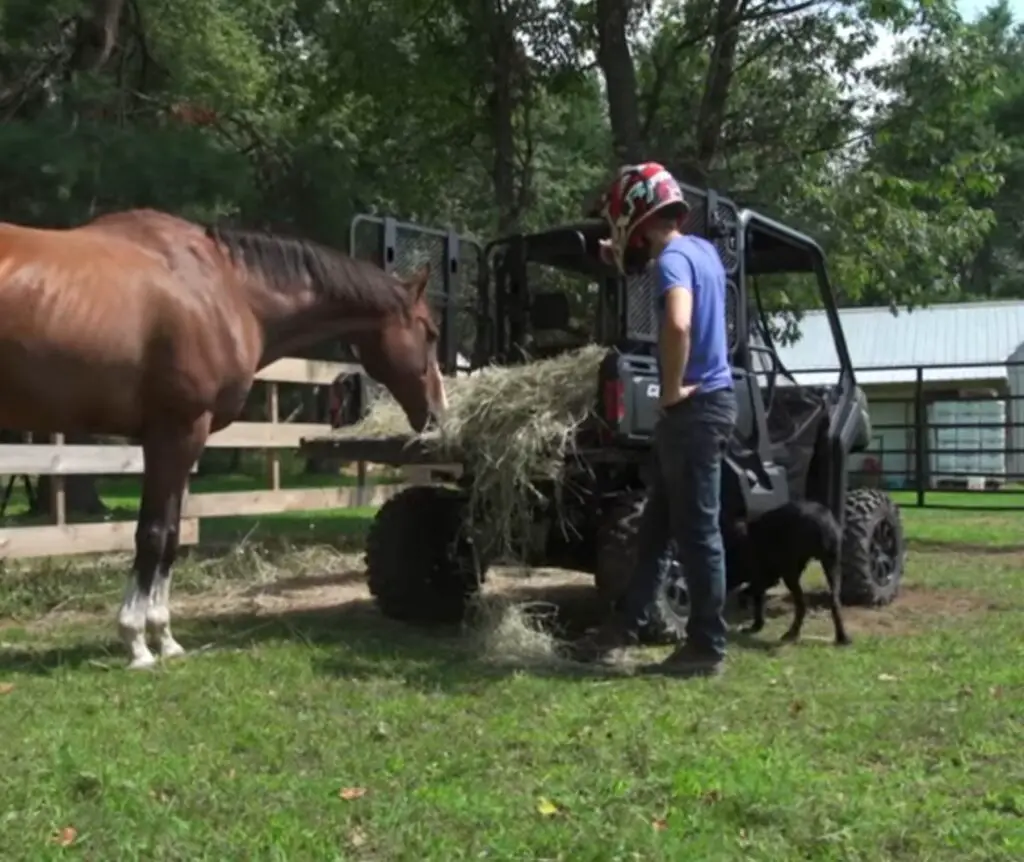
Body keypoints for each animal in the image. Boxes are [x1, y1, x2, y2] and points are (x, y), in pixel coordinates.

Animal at [0, 206, 444, 663]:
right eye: (430, 332)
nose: (437, 412)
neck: (227, 290)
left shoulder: (179, 441)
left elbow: (172, 534)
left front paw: (165, 637)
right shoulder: (177, 433)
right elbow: (152, 534)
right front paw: (137, 641)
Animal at [720, 497, 847, 647]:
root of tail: (821, 519)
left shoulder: (763, 579)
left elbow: (747, 594)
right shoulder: (764, 581)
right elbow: (756, 601)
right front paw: (756, 626)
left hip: (791, 574)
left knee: (801, 605)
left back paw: (791, 633)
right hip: (831, 565)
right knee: (835, 601)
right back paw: (842, 637)